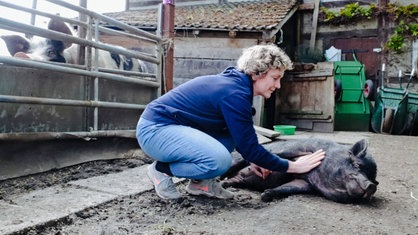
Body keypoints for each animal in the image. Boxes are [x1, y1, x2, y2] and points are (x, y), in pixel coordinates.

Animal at [222, 139, 378, 203]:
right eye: (356, 165)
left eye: (373, 178)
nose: (371, 185)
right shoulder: (298, 148)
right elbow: (279, 155)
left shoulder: (305, 183)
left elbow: (288, 188)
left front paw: (265, 195)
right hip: (235, 158)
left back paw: (226, 184)